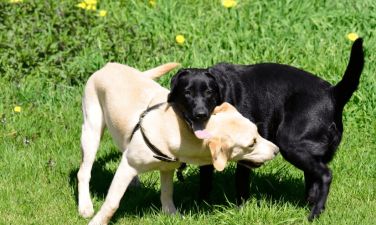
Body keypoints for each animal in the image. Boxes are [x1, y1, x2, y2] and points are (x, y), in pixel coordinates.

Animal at [167, 38, 364, 220]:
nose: (200, 114)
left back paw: (314, 214)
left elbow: (241, 183)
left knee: (325, 175)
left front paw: (240, 209)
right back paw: (310, 206)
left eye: (209, 92)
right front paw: (200, 205)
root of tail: (333, 93)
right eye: (187, 92)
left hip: (291, 144)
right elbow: (206, 181)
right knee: (313, 179)